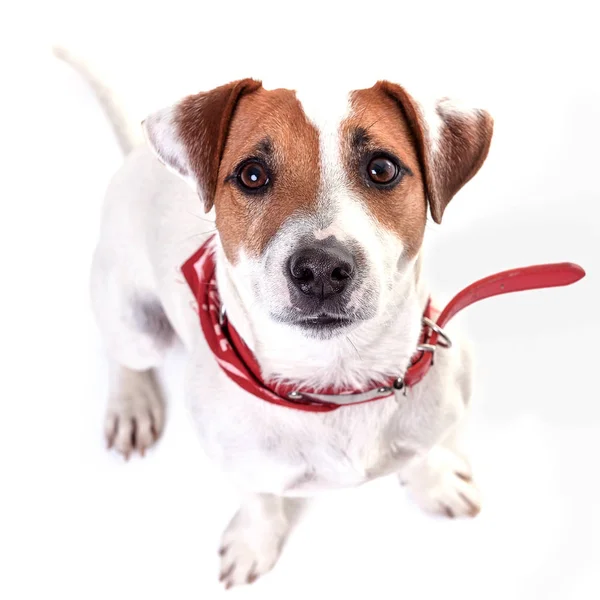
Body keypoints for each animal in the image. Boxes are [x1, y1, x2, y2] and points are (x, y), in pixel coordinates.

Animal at [70, 51, 494, 584]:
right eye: (252, 174)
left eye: (382, 168)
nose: (321, 269)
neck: (335, 386)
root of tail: (137, 158)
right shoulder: (241, 465)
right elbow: (259, 499)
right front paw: (254, 543)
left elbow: (426, 451)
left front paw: (434, 482)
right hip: (134, 321)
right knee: (123, 354)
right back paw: (132, 406)